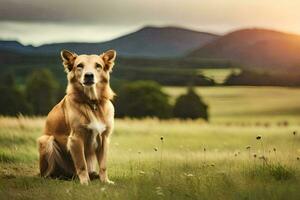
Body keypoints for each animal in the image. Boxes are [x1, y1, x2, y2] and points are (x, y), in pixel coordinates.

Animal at [37, 49, 116, 184]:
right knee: (47, 173)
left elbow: (103, 165)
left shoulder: (104, 138)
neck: (92, 103)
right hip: (46, 140)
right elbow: (81, 164)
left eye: (98, 66)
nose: (89, 75)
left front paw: (105, 181)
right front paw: (85, 182)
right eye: (80, 66)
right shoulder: (76, 138)